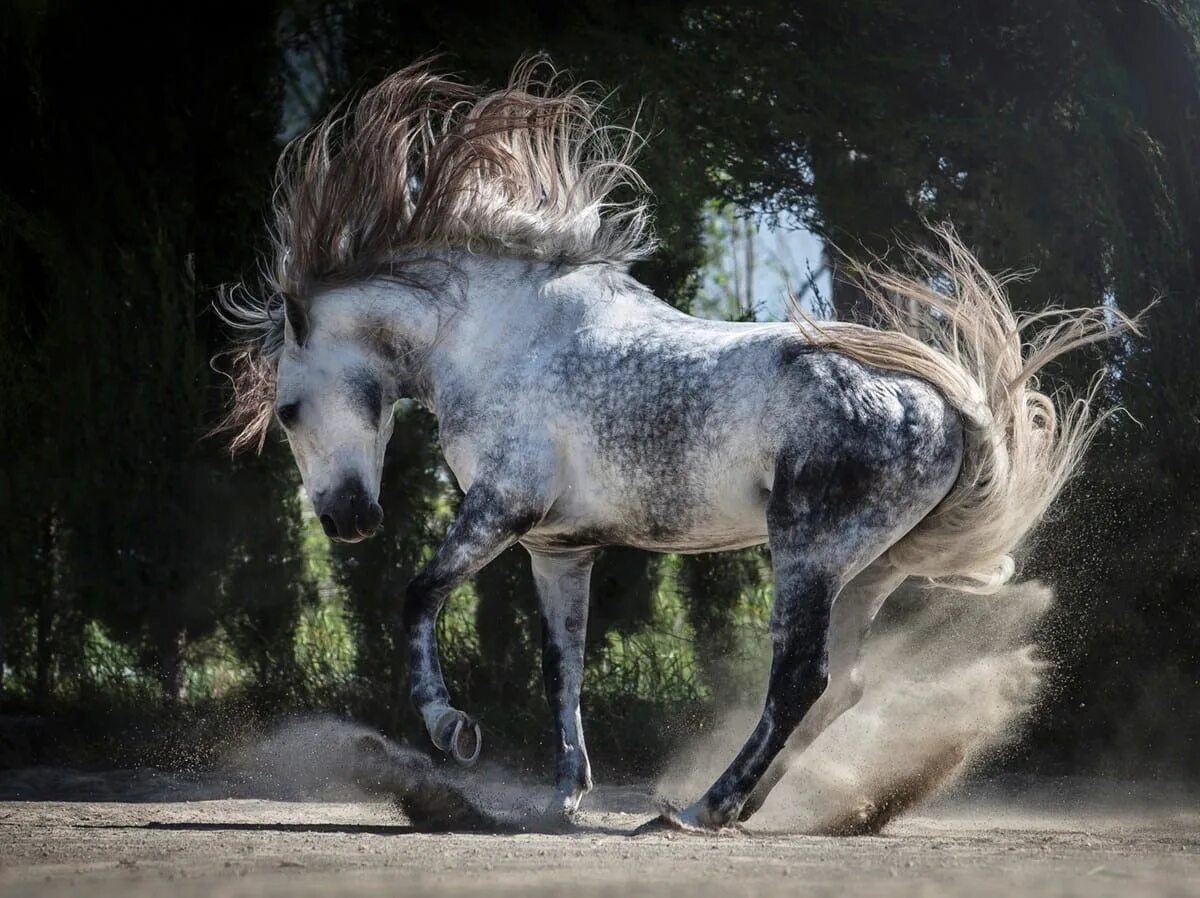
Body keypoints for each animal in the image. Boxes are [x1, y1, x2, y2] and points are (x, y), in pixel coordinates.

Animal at [220, 59, 1137, 830]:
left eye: (290, 410)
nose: (345, 521)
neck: (497, 338)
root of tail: (944, 407)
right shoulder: (557, 547)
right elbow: (562, 669)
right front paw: (564, 797)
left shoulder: (500, 509)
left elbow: (417, 595)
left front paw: (453, 732)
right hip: (868, 571)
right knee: (837, 687)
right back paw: (743, 804)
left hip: (807, 555)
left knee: (801, 679)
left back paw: (705, 808)